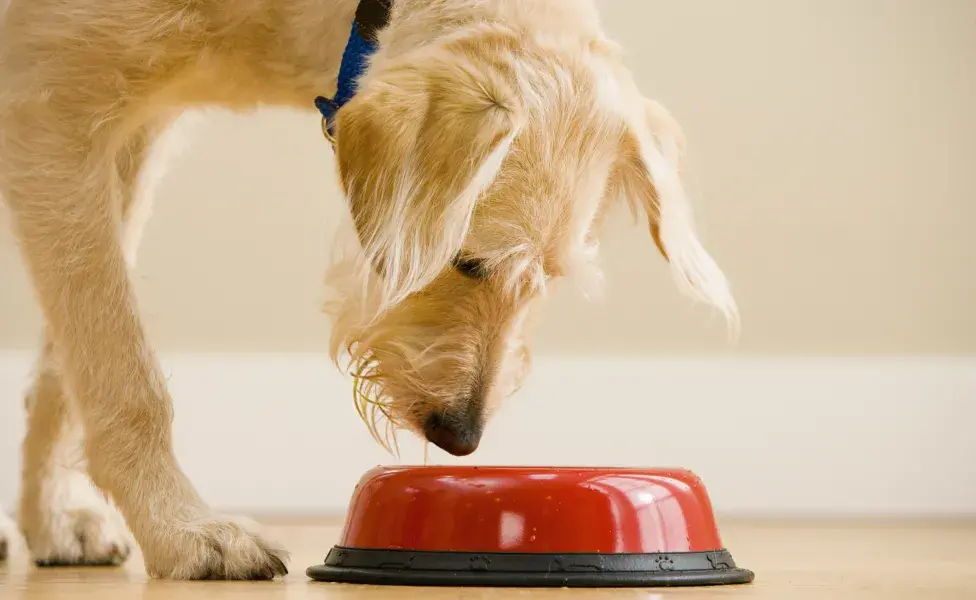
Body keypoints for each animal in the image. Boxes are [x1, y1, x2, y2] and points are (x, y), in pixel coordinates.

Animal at [0, 0, 736, 580]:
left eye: (548, 283)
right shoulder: (53, 109)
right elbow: (122, 367)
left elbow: (68, 363)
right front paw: (183, 530)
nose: (460, 438)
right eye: (466, 262)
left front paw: (52, 519)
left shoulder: (122, 137)